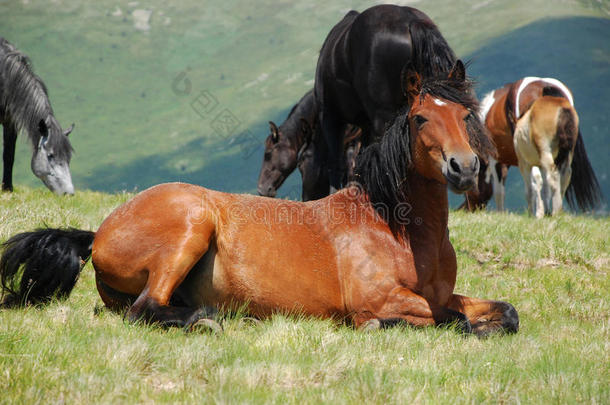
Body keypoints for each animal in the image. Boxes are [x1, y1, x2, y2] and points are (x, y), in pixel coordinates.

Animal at [0, 37, 75, 194]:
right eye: (50, 155)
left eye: (69, 157)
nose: (69, 193)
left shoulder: (10, 123)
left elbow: (9, 156)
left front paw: (7, 188)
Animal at [0, 63, 516, 336]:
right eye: (420, 118)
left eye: (465, 115)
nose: (463, 167)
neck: (393, 226)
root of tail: (99, 233)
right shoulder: (381, 299)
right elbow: (451, 320)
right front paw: (381, 327)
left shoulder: (442, 295)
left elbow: (501, 312)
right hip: (190, 227)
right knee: (144, 308)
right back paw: (208, 320)